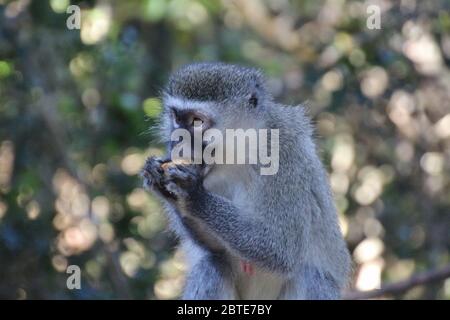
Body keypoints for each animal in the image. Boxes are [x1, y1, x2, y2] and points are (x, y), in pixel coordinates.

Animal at [142, 62, 352, 300]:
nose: (176, 140)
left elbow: (282, 248)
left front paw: (194, 196)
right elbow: (216, 249)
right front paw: (159, 178)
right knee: (212, 265)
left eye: (196, 122)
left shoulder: (284, 153)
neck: (240, 152)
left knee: (310, 275)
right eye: (177, 118)